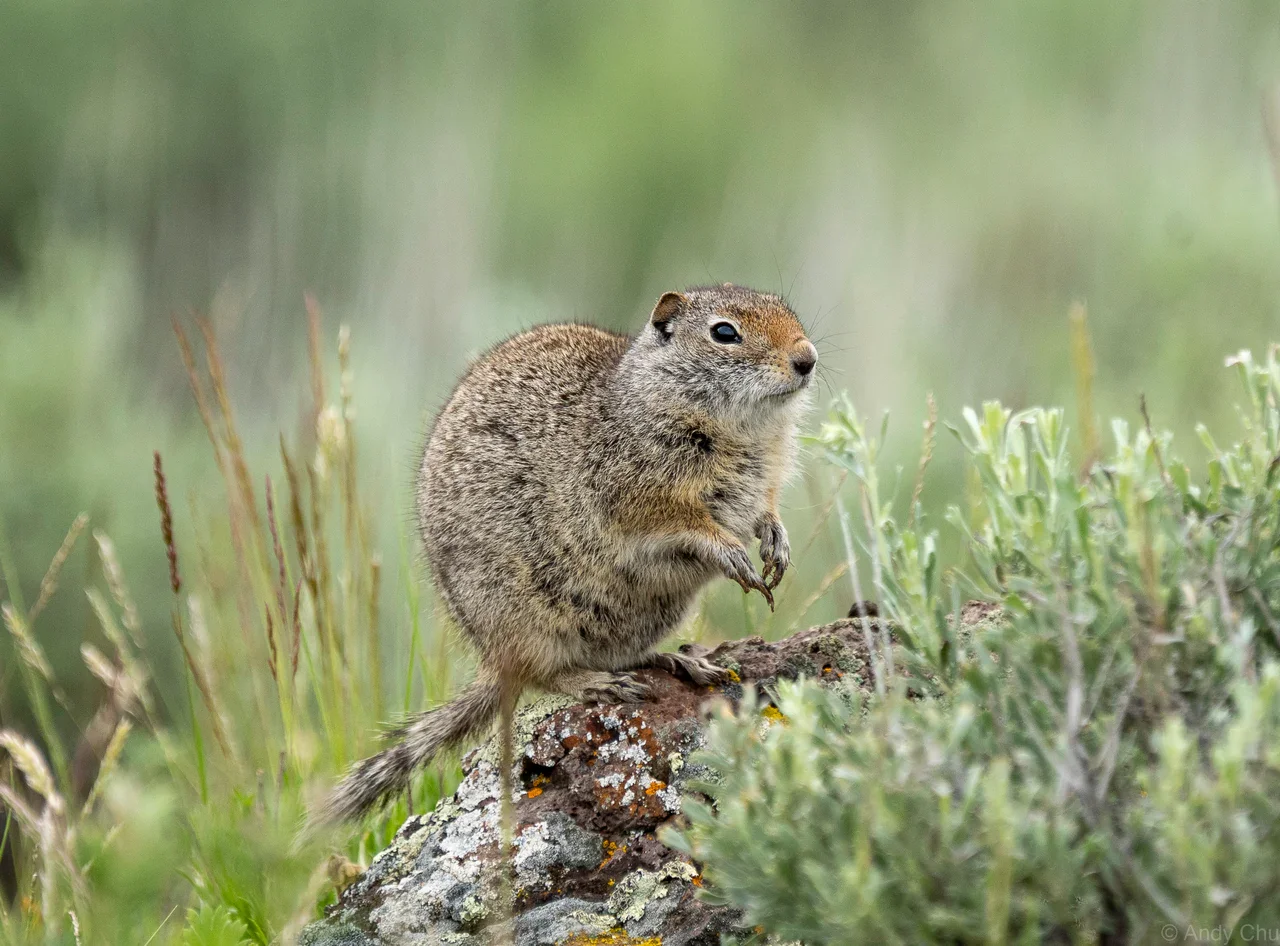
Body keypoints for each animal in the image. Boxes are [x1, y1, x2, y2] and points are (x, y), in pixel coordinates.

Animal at [315, 283, 817, 824]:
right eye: (724, 332)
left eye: (788, 312)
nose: (807, 359)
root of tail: (492, 658)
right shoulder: (639, 493)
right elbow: (686, 524)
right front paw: (733, 555)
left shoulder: (762, 485)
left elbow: (764, 512)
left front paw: (776, 544)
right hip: (530, 619)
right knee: (544, 674)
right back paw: (601, 684)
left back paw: (680, 663)